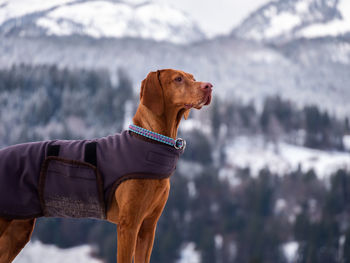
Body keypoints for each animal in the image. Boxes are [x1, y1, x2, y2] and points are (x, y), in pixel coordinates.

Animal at [0, 69, 213, 262]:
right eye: (178, 79)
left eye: (193, 77)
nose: (209, 86)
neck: (150, 141)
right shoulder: (128, 225)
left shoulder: (148, 228)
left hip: (18, 230)